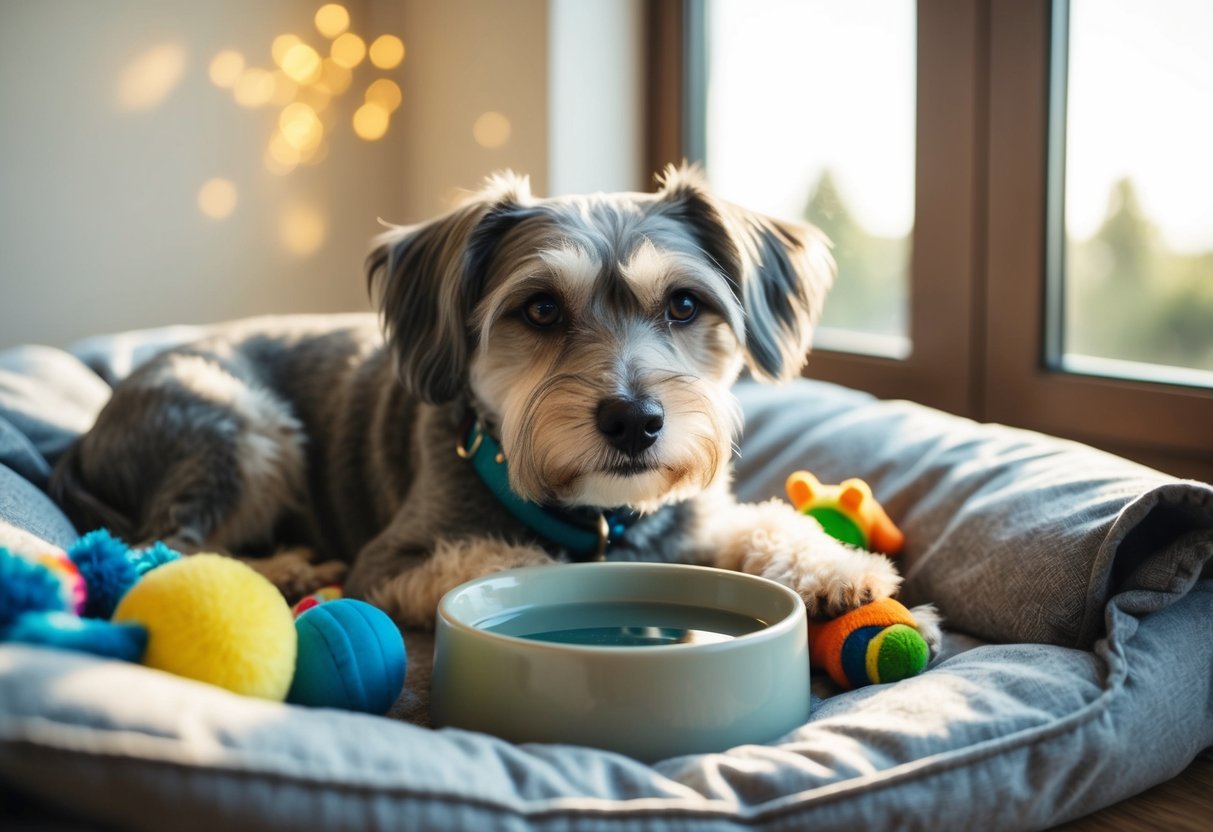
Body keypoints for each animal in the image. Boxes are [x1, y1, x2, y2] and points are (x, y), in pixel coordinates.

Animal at [49, 166, 936, 650]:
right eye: (539, 309)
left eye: (684, 305)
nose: (634, 421)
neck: (597, 515)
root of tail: (92, 428)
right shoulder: (396, 560)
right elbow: (505, 565)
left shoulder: (692, 524)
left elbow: (764, 526)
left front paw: (844, 572)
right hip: (237, 426)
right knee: (163, 545)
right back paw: (285, 567)